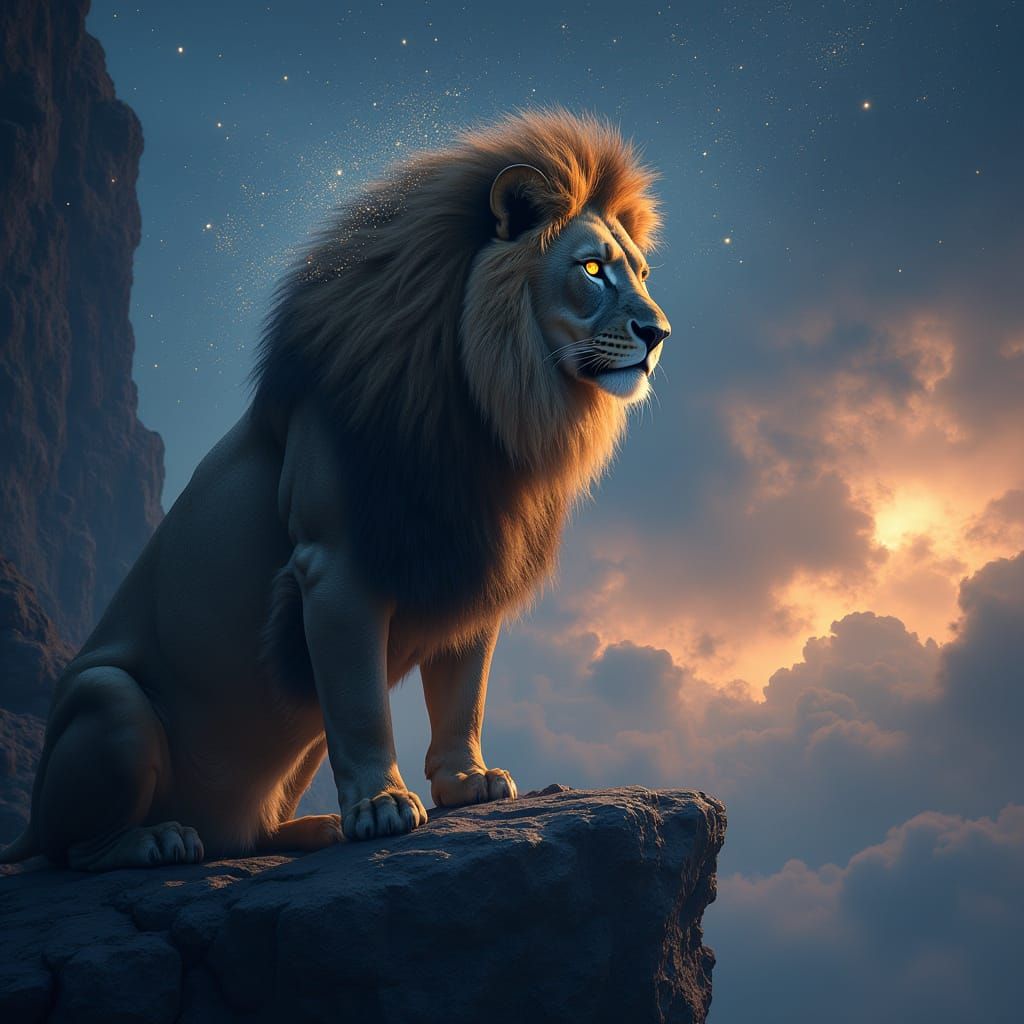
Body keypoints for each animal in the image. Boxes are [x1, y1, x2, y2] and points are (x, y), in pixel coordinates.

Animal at [1, 109, 670, 870]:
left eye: (641, 273)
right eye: (591, 269)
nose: (659, 334)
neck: (488, 413)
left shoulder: (473, 558)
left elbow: (463, 691)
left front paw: (468, 782)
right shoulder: (334, 568)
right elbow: (360, 704)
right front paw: (382, 806)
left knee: (239, 834)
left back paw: (304, 829)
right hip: (109, 701)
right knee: (71, 848)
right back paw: (157, 839)